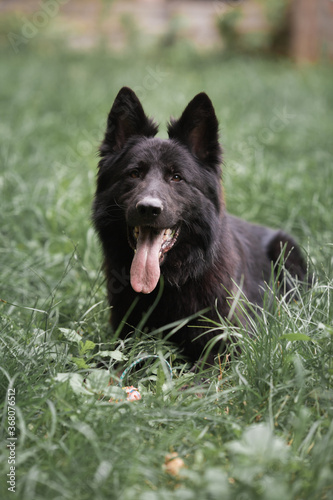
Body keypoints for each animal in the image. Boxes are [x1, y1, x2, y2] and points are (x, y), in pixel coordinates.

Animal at [92, 87, 308, 364]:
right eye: (134, 174)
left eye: (176, 177)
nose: (148, 208)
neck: (169, 281)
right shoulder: (123, 339)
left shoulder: (229, 347)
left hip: (285, 249)